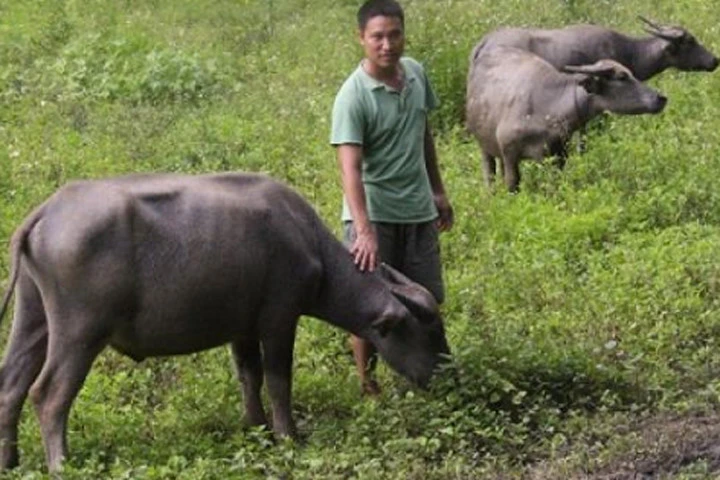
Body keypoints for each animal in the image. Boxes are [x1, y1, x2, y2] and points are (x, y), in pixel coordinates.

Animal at [0, 172, 450, 472]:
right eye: (430, 332)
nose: (448, 375)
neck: (309, 244)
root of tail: (47, 212)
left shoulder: (243, 329)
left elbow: (249, 376)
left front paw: (256, 427)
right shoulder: (279, 320)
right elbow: (278, 379)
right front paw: (288, 434)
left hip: (33, 320)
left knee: (11, 387)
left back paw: (10, 460)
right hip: (79, 332)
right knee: (48, 394)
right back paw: (61, 464)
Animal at [464, 46, 668, 191]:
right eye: (622, 77)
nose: (661, 98)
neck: (548, 108)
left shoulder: (559, 155)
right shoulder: (510, 153)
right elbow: (512, 186)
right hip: (484, 147)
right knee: (489, 176)